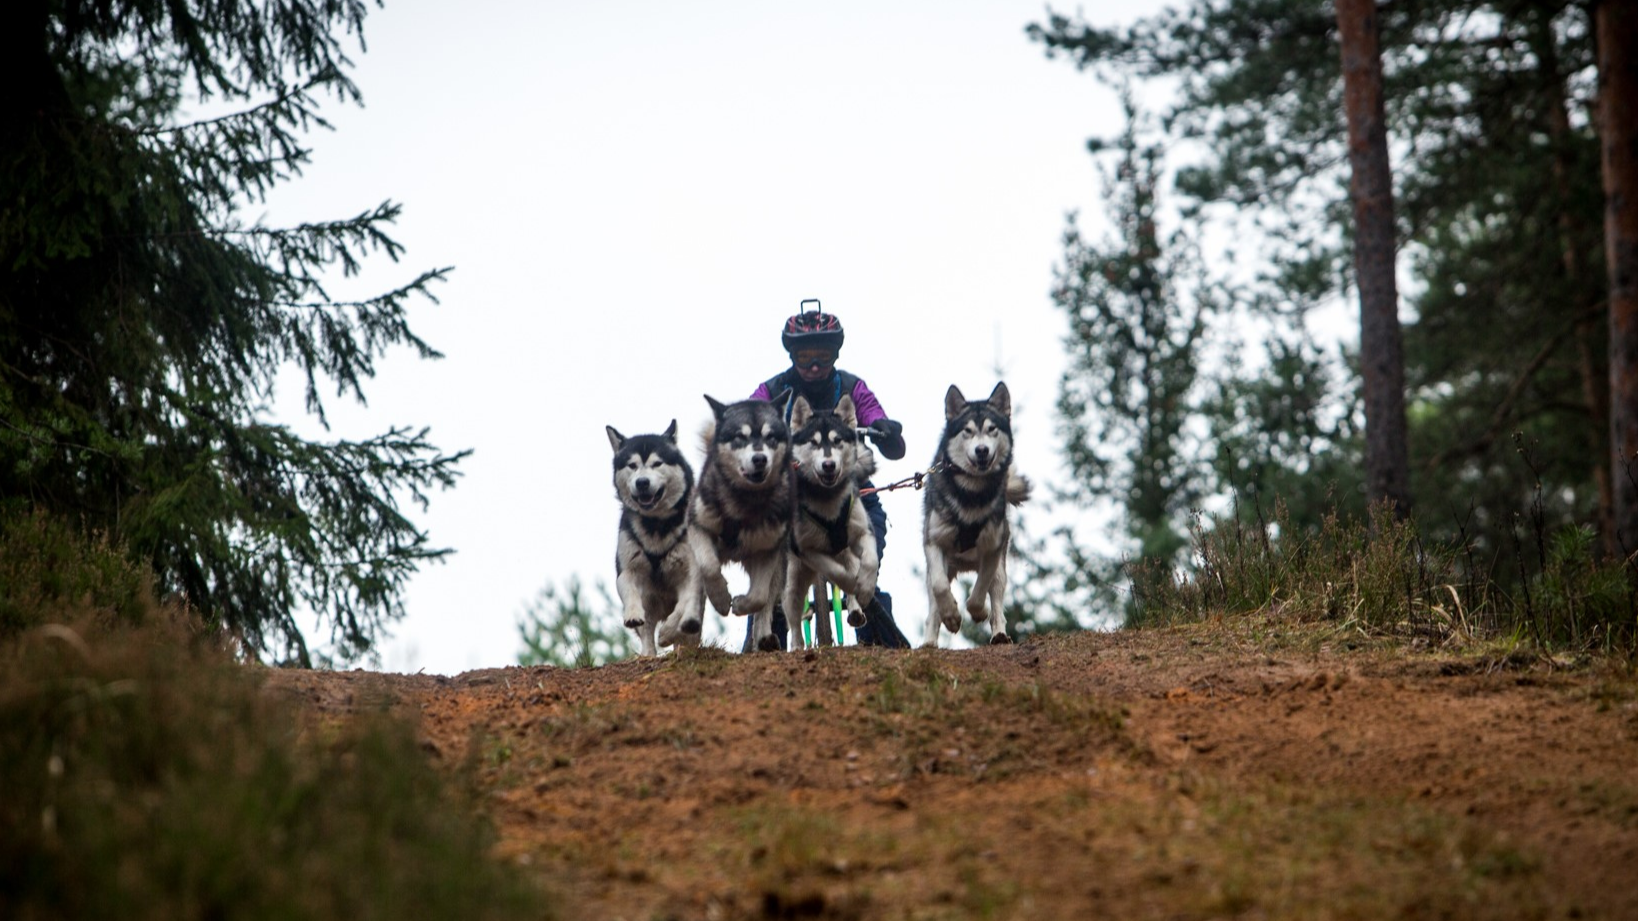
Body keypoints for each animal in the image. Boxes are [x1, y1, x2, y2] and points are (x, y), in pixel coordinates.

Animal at [609, 419, 697, 655]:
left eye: (657, 463)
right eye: (632, 465)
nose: (642, 482)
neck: (656, 524)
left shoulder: (690, 575)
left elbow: (681, 608)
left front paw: (667, 632)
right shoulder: (628, 568)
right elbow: (629, 589)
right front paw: (632, 614)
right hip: (650, 601)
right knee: (647, 631)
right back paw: (647, 654)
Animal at [678, 390, 799, 648]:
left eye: (770, 437)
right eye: (739, 437)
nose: (760, 459)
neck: (744, 504)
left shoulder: (767, 550)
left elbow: (760, 596)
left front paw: (742, 604)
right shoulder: (699, 527)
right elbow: (709, 568)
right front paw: (721, 598)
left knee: (768, 599)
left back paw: (764, 639)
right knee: (695, 583)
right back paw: (686, 623)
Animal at [782, 393, 884, 645]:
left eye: (837, 441)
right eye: (814, 442)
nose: (829, 465)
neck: (827, 500)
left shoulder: (863, 532)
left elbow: (869, 562)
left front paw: (864, 587)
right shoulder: (807, 550)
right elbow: (838, 574)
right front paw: (852, 583)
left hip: (845, 549)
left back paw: (856, 607)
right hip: (793, 579)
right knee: (794, 617)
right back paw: (797, 645)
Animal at [930, 380, 1028, 645]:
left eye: (992, 429)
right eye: (967, 431)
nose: (982, 450)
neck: (971, 494)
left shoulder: (993, 548)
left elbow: (979, 591)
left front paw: (979, 611)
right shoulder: (934, 540)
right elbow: (940, 587)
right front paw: (951, 616)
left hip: (1001, 566)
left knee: (996, 597)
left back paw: (999, 633)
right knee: (933, 602)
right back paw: (929, 641)